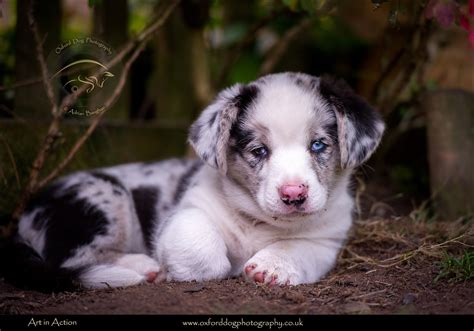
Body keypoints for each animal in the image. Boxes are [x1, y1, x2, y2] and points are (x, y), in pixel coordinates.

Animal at [0, 72, 386, 290]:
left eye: (318, 145)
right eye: (259, 151)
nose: (293, 195)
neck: (260, 223)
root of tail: (26, 213)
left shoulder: (326, 240)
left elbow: (297, 248)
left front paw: (270, 268)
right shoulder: (187, 212)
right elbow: (201, 246)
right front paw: (194, 269)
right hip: (103, 199)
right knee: (68, 258)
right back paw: (142, 267)